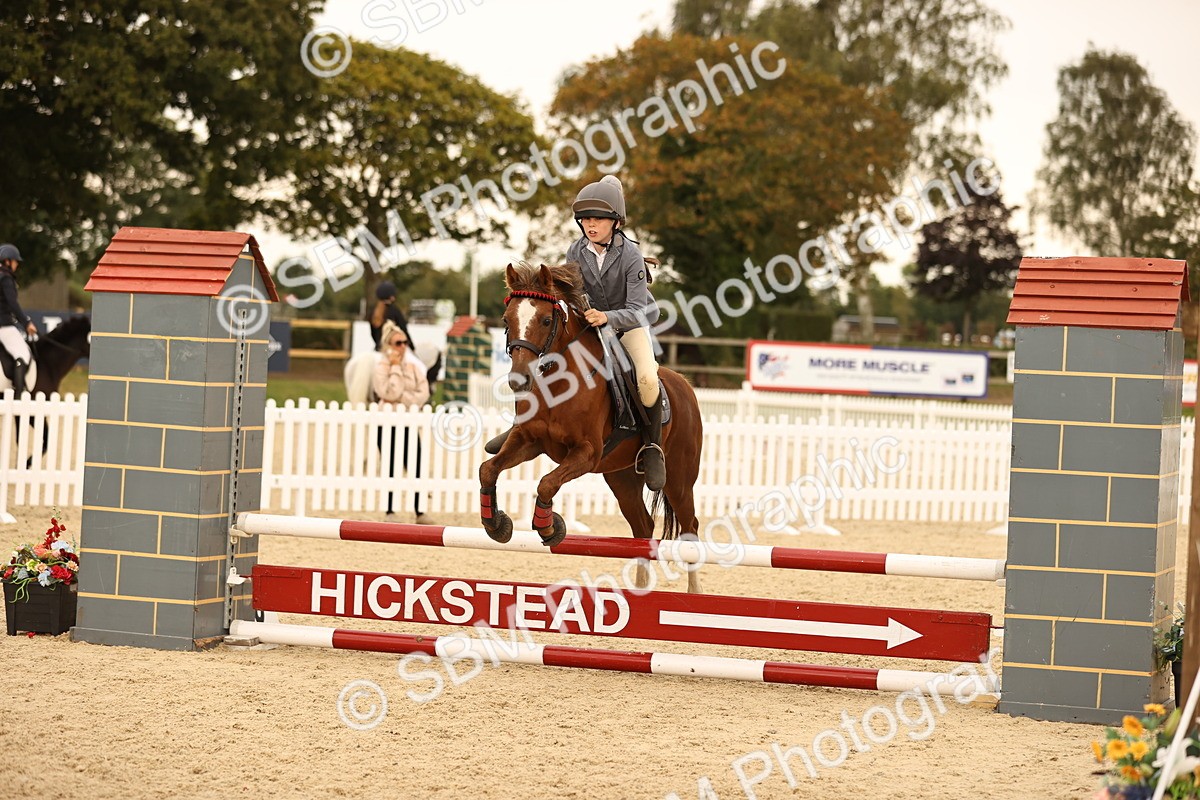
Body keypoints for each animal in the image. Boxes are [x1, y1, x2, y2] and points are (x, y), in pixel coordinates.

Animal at [479, 262, 705, 593]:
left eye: (546, 320)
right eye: (507, 320)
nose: (519, 380)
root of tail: (685, 386)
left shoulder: (586, 452)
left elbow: (546, 483)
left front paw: (550, 528)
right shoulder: (528, 441)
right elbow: (488, 469)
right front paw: (496, 524)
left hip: (678, 479)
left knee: (690, 530)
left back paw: (694, 594)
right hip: (622, 478)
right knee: (643, 527)